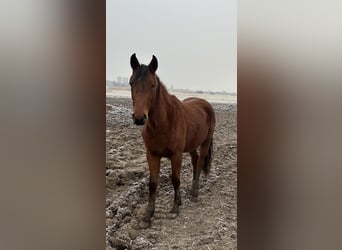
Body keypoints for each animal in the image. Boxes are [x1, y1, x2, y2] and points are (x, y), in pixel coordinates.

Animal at [130, 53, 215, 229]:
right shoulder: (152, 155)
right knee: (195, 160)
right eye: (131, 83)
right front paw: (147, 216)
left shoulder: (176, 155)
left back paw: (195, 191)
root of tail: (205, 103)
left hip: (205, 141)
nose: (139, 118)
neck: (163, 122)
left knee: (200, 161)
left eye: (153, 85)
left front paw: (175, 208)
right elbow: (153, 184)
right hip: (191, 145)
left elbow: (175, 180)